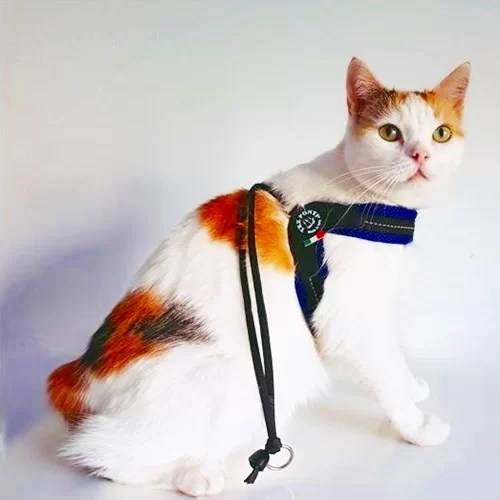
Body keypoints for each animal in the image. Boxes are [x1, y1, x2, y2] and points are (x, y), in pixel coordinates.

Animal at [47, 57, 470, 497]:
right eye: (390, 133)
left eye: (441, 134)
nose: (420, 154)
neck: (363, 203)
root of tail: (75, 377)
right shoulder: (349, 321)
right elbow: (385, 371)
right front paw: (416, 426)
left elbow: (394, 358)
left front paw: (412, 388)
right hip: (253, 371)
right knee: (107, 456)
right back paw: (196, 475)